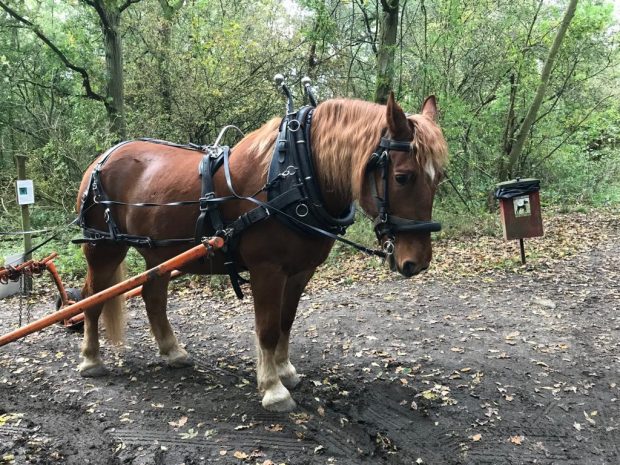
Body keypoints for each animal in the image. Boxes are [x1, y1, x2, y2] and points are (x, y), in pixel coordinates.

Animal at [75, 92, 448, 412]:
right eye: (402, 177)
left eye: (439, 177)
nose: (417, 262)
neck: (296, 173)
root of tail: (102, 159)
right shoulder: (267, 270)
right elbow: (267, 328)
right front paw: (272, 388)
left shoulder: (300, 271)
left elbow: (285, 321)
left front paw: (284, 371)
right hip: (103, 247)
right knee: (92, 297)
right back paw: (91, 358)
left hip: (158, 254)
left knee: (153, 295)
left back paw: (172, 351)